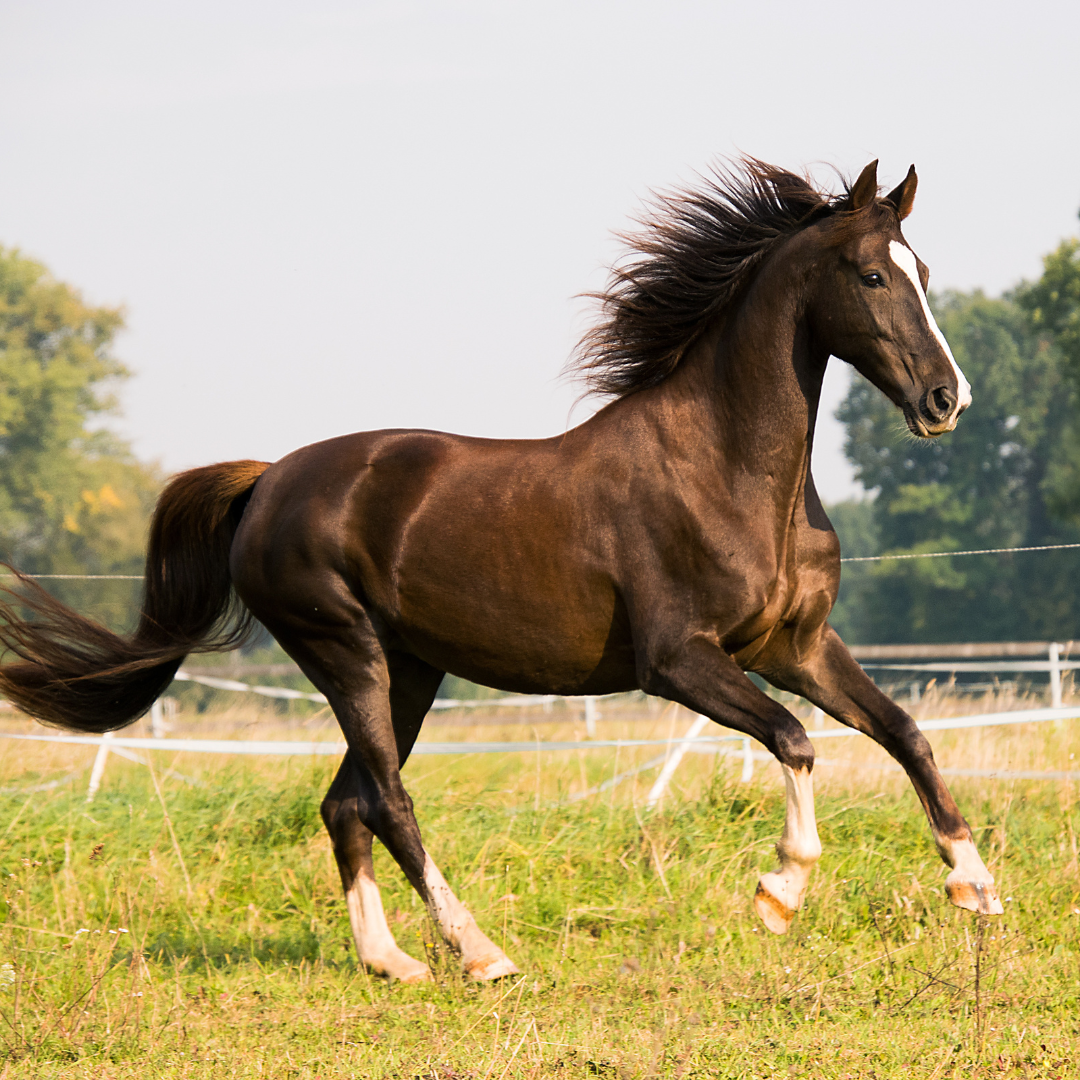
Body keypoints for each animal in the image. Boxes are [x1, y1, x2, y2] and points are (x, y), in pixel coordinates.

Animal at [0, 156, 1002, 984]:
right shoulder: (679, 661)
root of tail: (269, 480)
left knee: (344, 804)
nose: (946, 400)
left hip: (408, 669)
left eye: (922, 272)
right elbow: (795, 740)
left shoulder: (795, 647)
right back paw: (480, 953)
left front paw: (977, 887)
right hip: (347, 653)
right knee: (388, 802)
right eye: (871, 275)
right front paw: (779, 893)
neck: (727, 469)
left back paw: (392, 962)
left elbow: (905, 733)